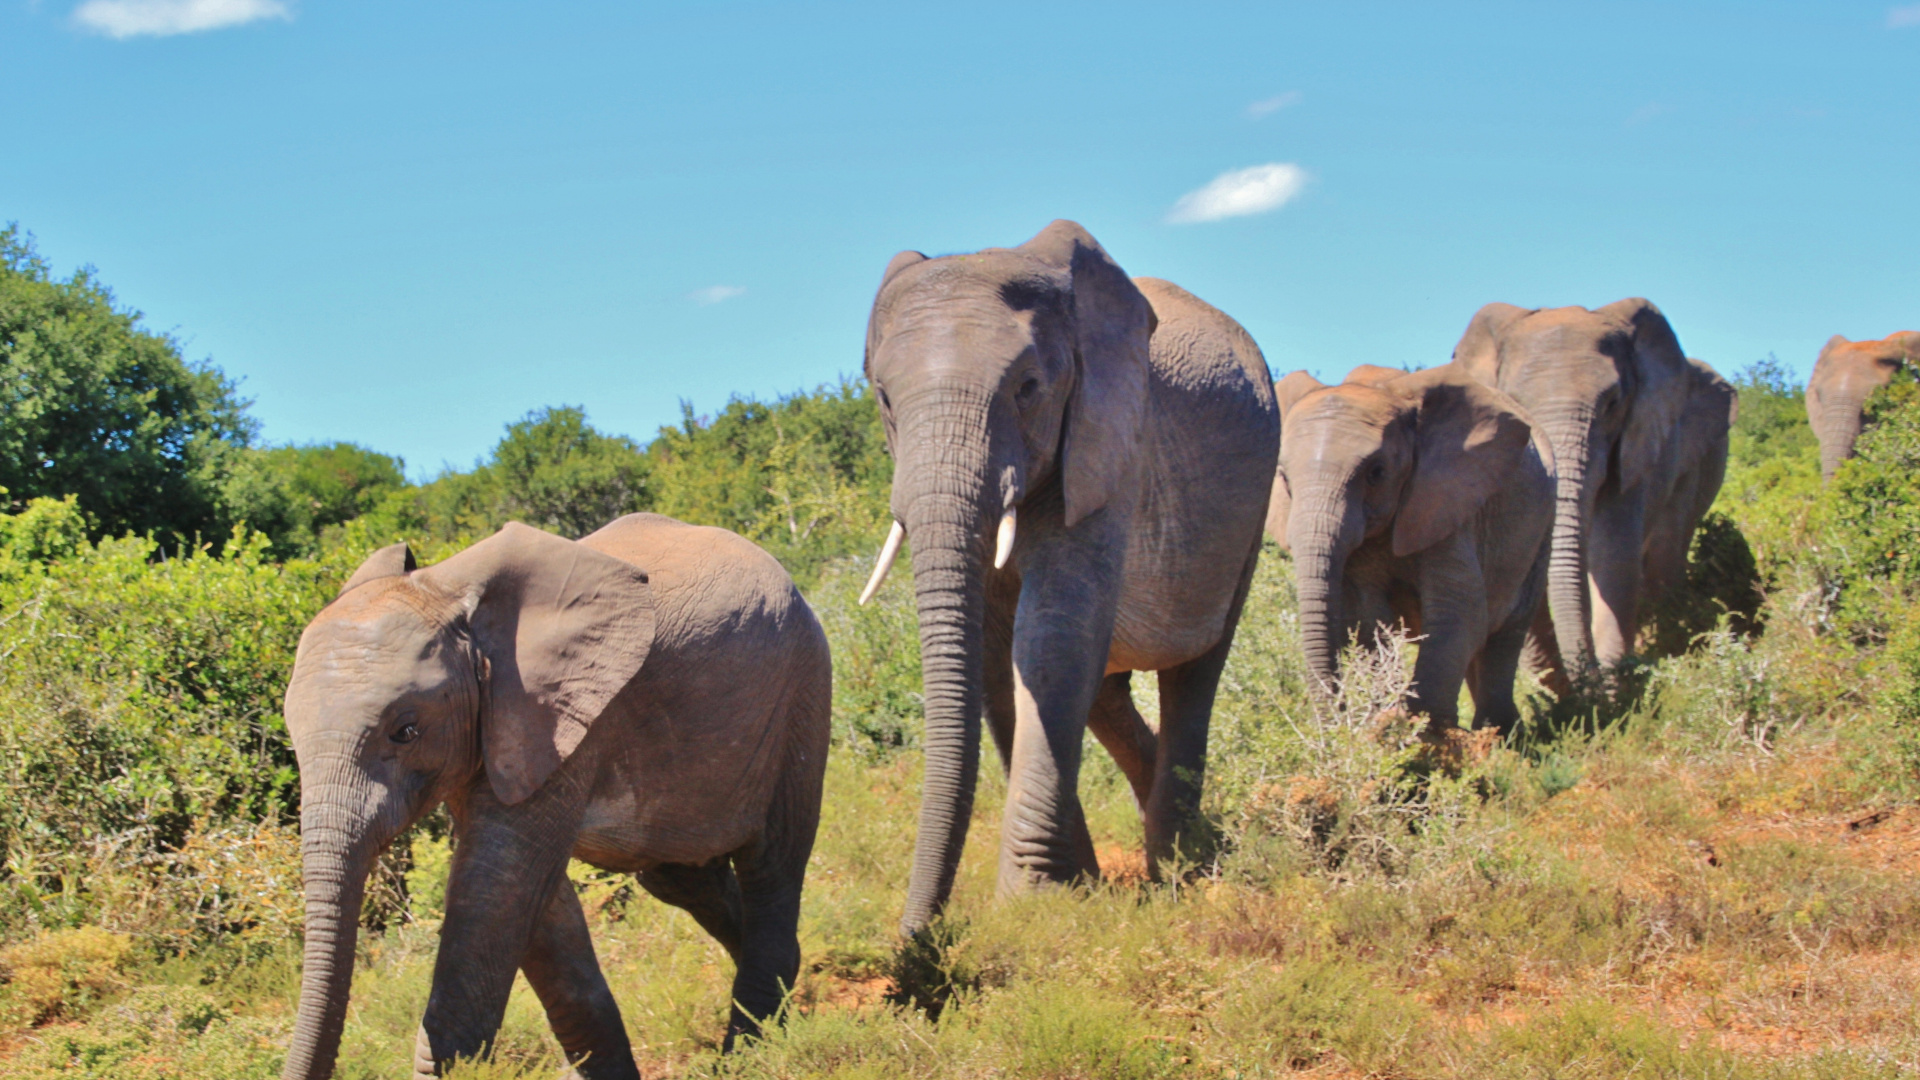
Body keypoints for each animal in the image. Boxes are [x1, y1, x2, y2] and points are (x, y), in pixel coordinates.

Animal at [279, 515, 830, 1080]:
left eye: (405, 731)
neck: (447, 591)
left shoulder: (556, 716)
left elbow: (498, 889)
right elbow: (539, 912)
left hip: (802, 690)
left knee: (772, 862)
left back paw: (748, 1056)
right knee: (682, 878)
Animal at [858, 220, 1278, 933]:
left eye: (1028, 387)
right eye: (884, 398)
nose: (917, 939)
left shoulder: (1107, 442)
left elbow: (1053, 636)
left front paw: (1034, 903)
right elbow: (996, 657)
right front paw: (1075, 888)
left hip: (1252, 501)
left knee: (1195, 670)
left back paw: (1181, 864)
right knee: (1107, 691)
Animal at [1266, 365, 1555, 733]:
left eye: (1376, 472)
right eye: (1284, 478)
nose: (1339, 718)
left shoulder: (1447, 500)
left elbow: (1458, 610)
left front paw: (1425, 734)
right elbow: (1366, 618)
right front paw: (1383, 723)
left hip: (1542, 527)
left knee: (1506, 632)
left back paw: (1499, 733)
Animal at [1452, 299, 1727, 684]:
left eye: (1612, 403)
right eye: (1516, 405)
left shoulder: (1635, 443)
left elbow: (1615, 554)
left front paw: (1613, 683)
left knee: (1666, 550)